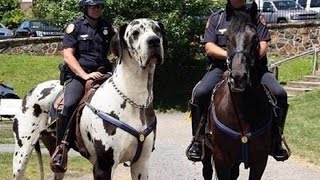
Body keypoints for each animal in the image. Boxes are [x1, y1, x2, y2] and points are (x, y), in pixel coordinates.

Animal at [11, 18, 165, 180]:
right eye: (135, 33)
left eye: (157, 30)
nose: (154, 41)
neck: (134, 100)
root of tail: (30, 91)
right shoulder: (103, 167)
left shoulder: (141, 165)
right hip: (21, 155)